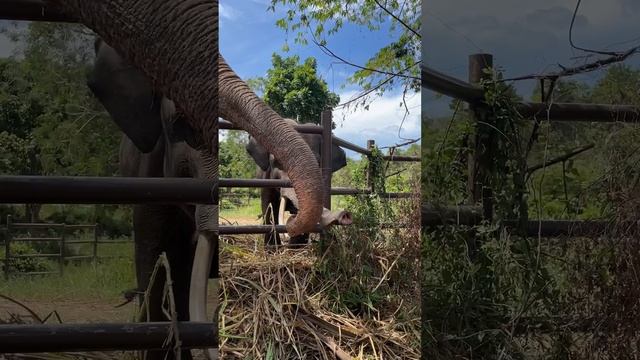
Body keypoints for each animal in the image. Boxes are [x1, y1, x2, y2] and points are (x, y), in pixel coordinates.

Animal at [246, 118, 356, 248]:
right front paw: (271, 249)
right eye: (278, 161)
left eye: (317, 162)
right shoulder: (266, 178)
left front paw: (294, 248)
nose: (345, 215)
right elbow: (268, 207)